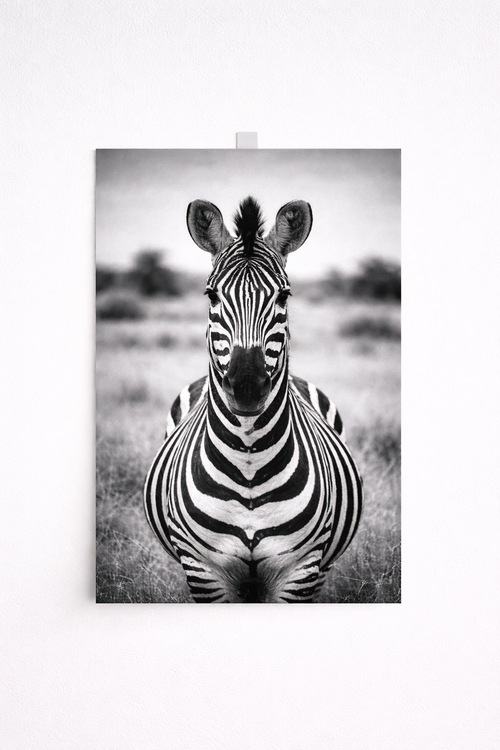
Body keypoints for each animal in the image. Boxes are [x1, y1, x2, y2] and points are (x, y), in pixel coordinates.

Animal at [144, 197, 362, 603]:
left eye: (284, 295)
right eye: (211, 295)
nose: (247, 386)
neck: (248, 463)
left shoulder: (301, 569)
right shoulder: (203, 571)